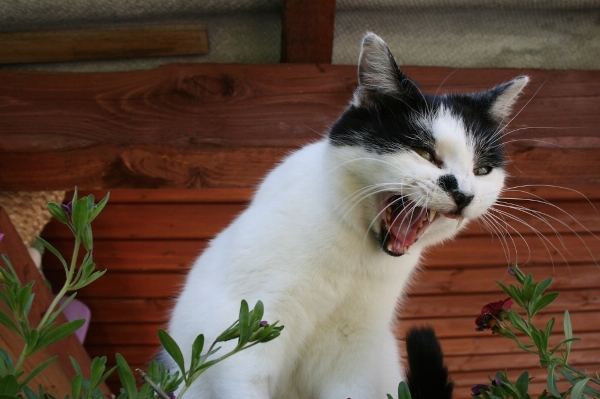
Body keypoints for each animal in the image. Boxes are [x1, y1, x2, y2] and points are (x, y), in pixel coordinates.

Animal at [162, 33, 528, 399]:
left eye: (482, 170)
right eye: (424, 152)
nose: (464, 194)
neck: (357, 255)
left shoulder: (355, 354)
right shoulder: (248, 337)